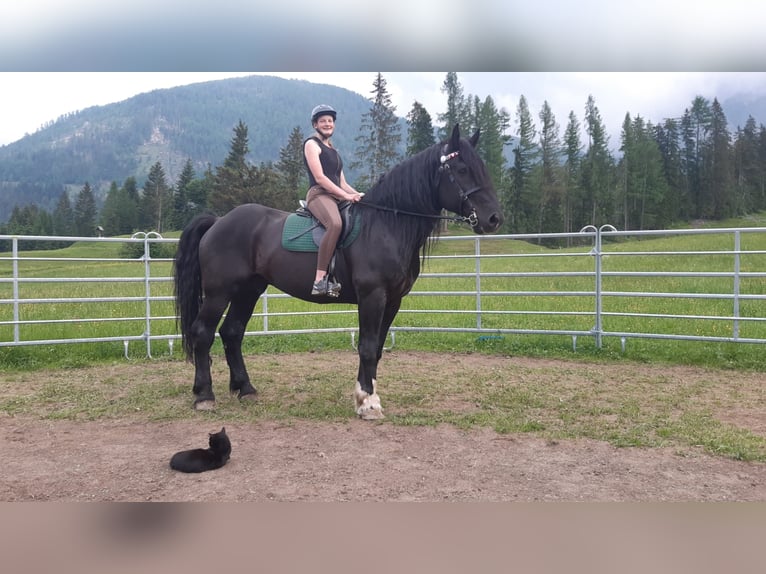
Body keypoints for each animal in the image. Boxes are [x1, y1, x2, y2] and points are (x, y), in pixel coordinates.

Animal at [173, 124, 503, 419]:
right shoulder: (373, 296)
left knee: (232, 332)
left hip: (248, 291)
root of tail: (218, 221)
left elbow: (377, 348)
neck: (386, 225)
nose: (494, 219)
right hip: (219, 292)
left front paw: (363, 396)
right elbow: (367, 347)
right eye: (462, 169)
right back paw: (204, 395)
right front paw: (369, 404)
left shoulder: (393, 300)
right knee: (203, 332)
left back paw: (245, 389)